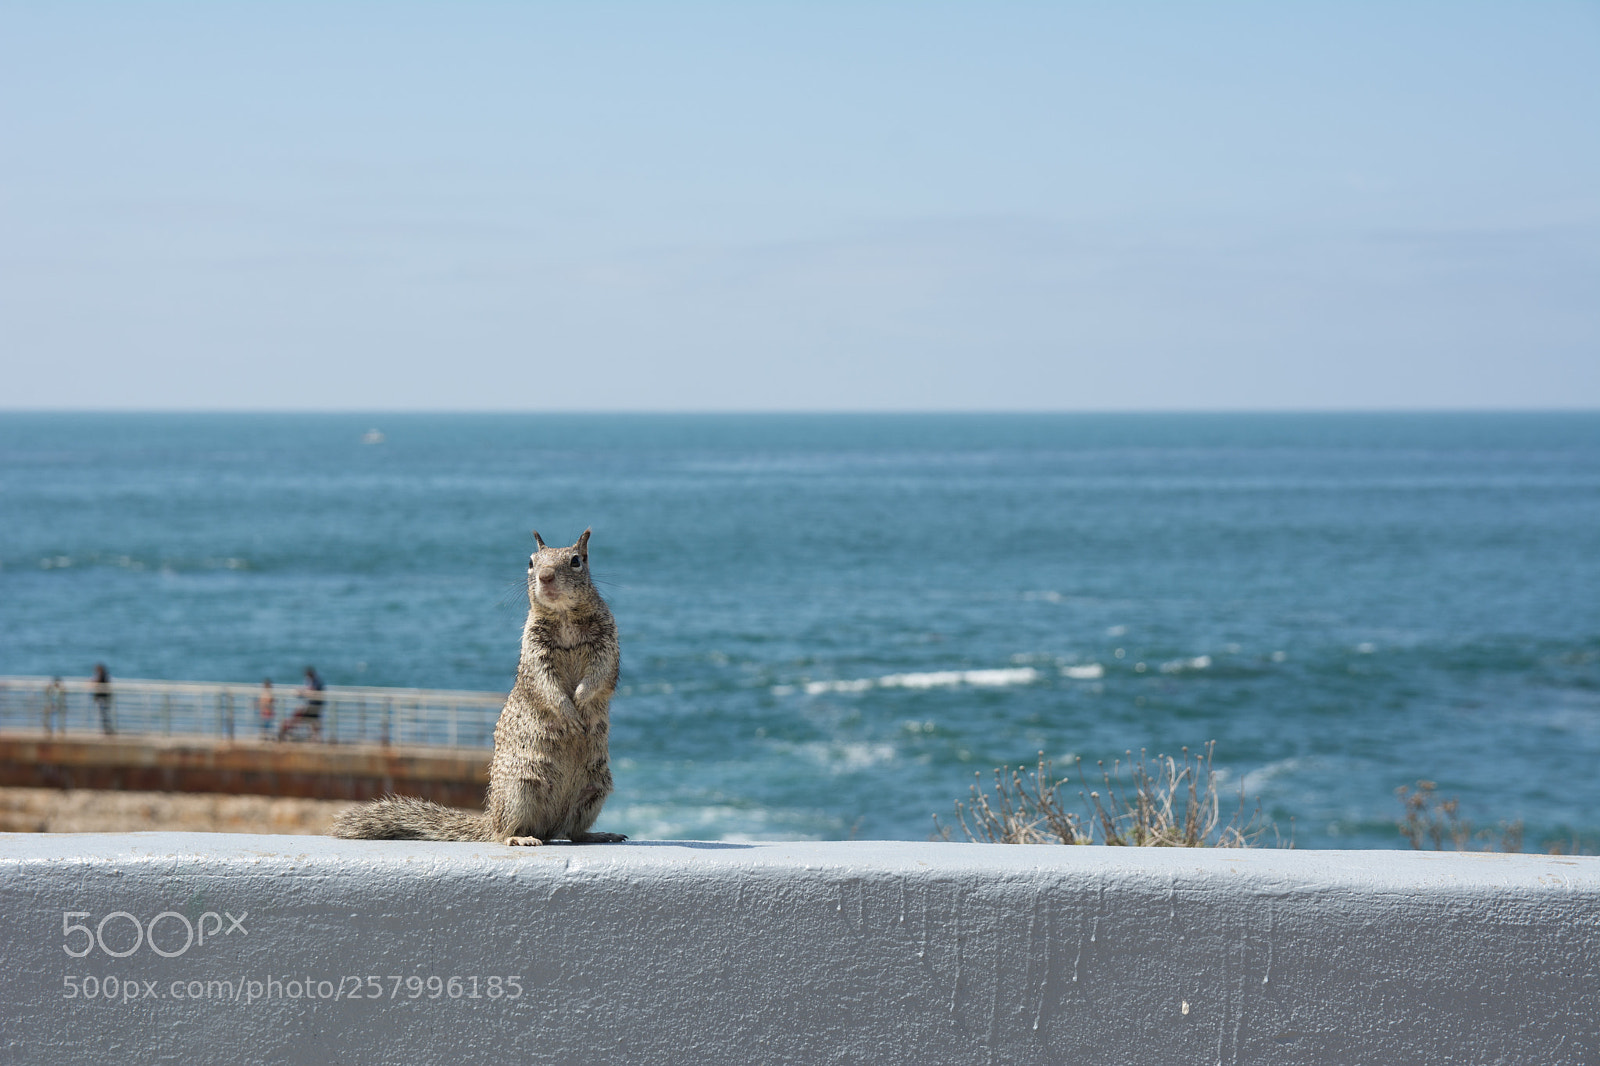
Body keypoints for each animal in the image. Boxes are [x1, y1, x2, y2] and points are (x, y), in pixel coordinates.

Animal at [330, 528, 627, 847]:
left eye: (576, 561)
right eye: (530, 561)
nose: (545, 576)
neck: (564, 617)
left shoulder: (607, 643)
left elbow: (600, 675)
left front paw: (581, 700)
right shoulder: (535, 652)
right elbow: (545, 684)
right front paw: (569, 712)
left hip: (595, 788)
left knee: (572, 831)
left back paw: (598, 834)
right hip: (521, 788)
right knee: (504, 832)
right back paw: (521, 838)